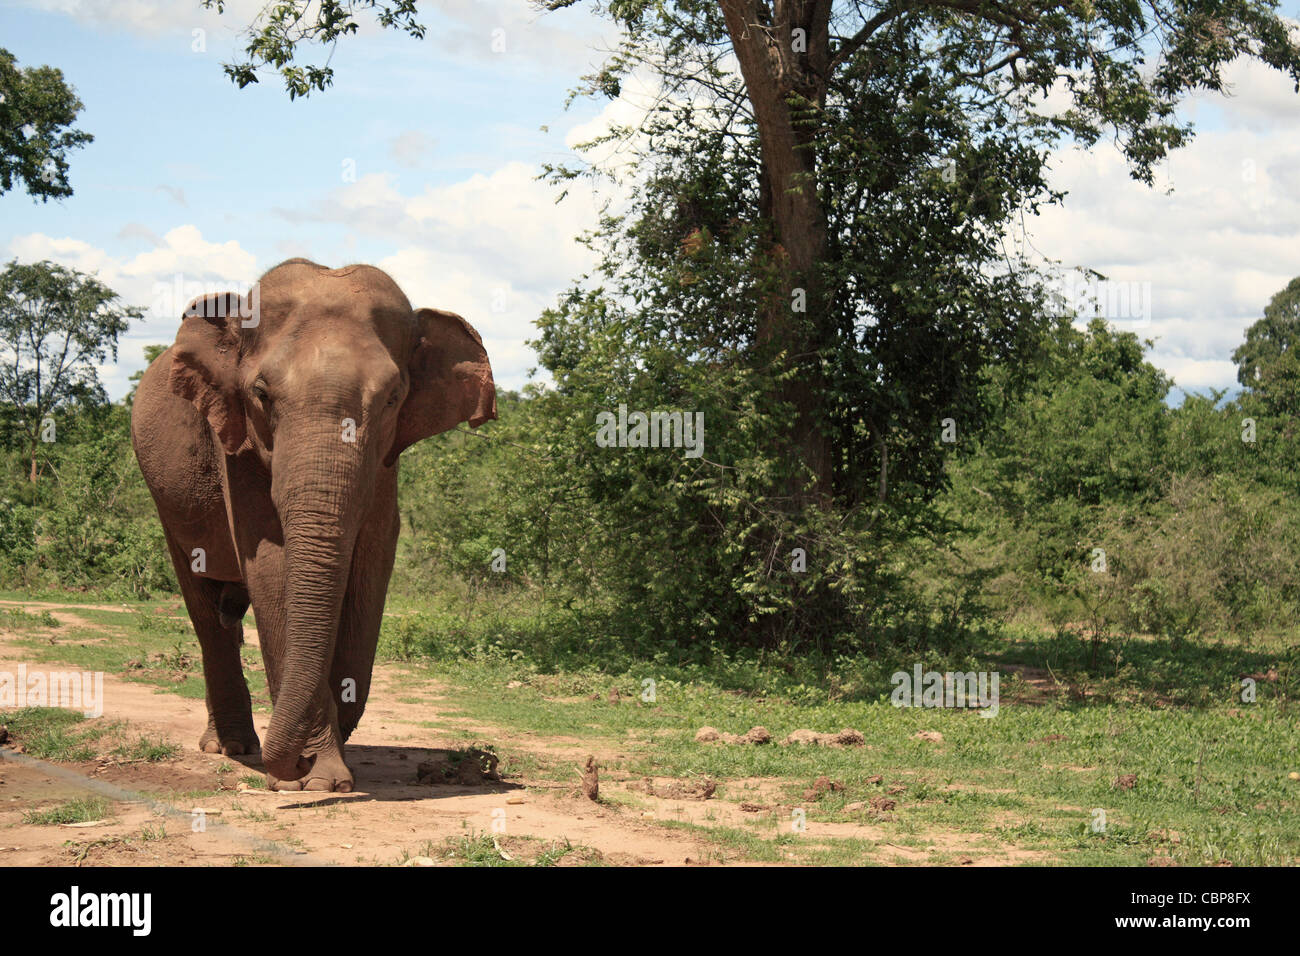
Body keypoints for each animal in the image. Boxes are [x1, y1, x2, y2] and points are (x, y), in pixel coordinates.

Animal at [130, 261, 496, 790]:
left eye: (393, 398)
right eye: (261, 394)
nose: (297, 764)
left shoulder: (385, 458)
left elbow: (371, 561)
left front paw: (325, 765)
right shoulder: (235, 442)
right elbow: (270, 561)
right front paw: (317, 777)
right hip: (163, 495)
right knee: (205, 607)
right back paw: (232, 748)